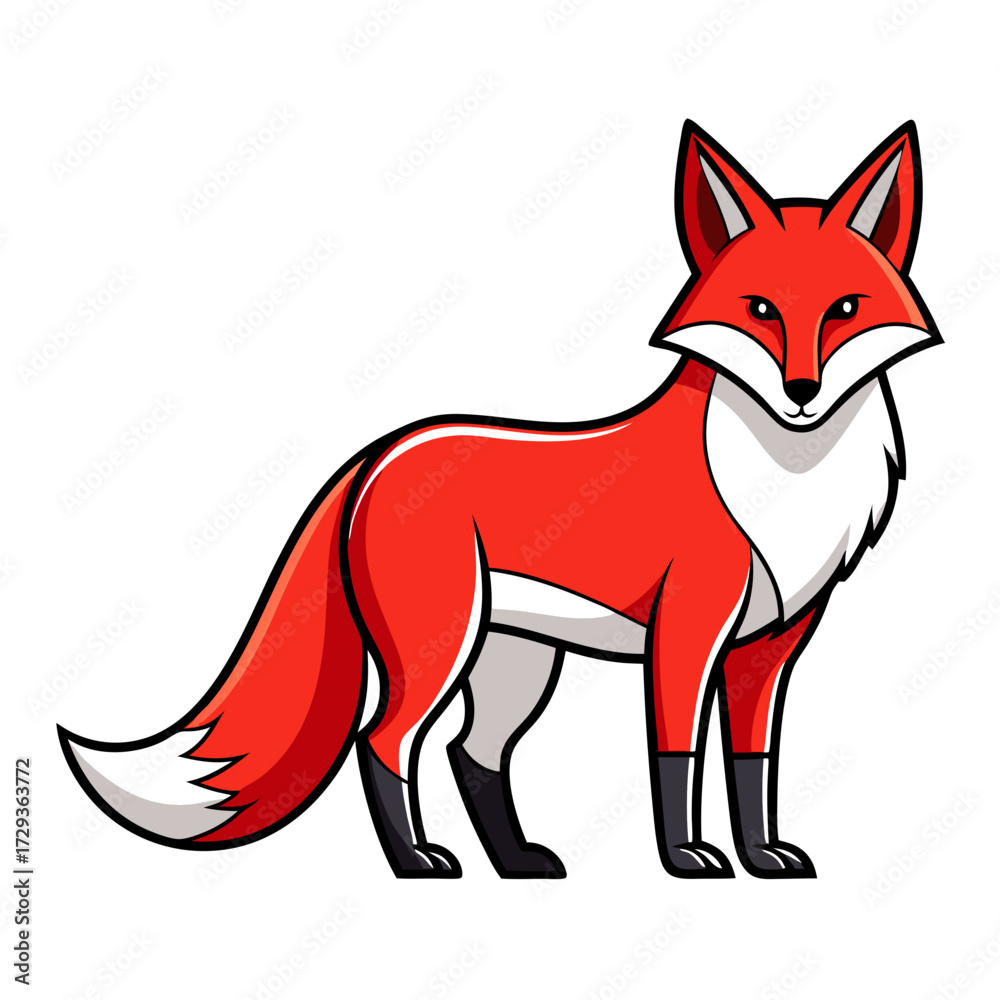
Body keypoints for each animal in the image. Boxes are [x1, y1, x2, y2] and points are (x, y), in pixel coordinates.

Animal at [60, 120, 940, 879]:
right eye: (760, 310)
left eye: (845, 311)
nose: (802, 392)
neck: (783, 481)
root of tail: (381, 454)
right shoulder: (685, 633)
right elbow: (675, 760)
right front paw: (687, 860)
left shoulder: (771, 646)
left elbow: (754, 767)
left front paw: (762, 857)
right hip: (439, 648)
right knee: (384, 742)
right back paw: (417, 863)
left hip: (517, 662)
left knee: (470, 753)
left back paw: (516, 862)